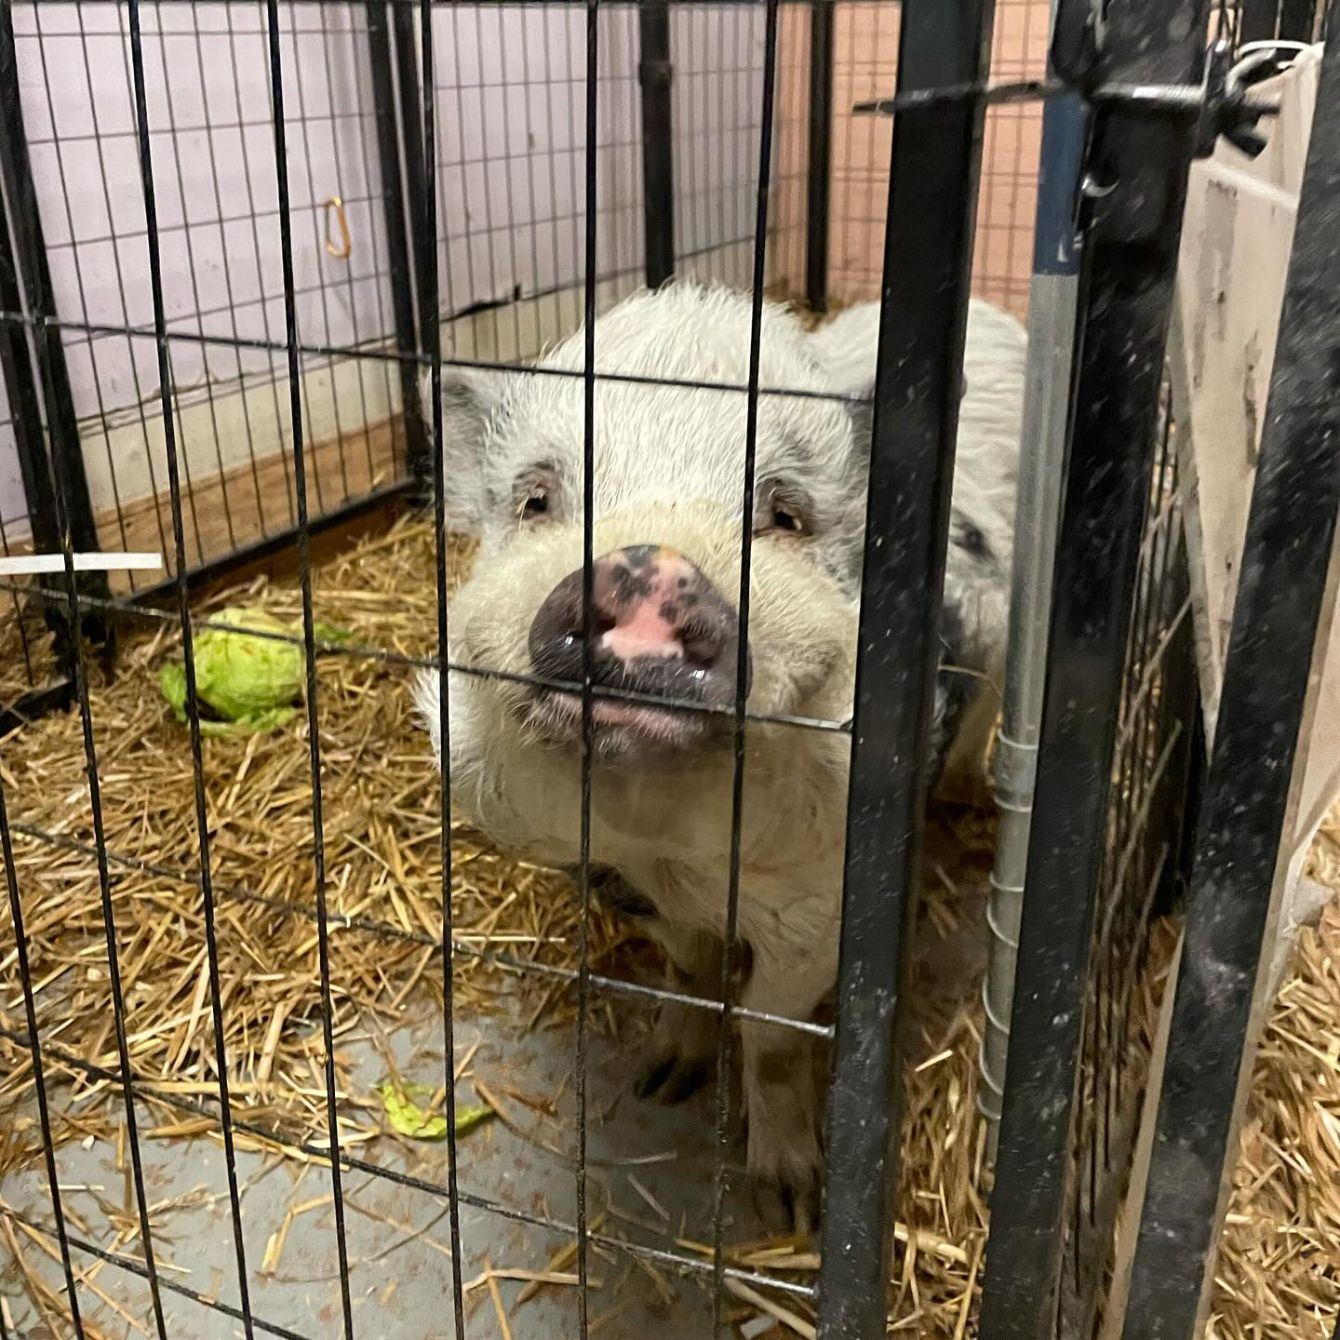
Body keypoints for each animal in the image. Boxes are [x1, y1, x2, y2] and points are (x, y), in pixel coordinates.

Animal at [414, 281, 1026, 1230]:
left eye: (783, 515)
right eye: (536, 500)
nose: (641, 567)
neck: (670, 834)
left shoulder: (824, 899)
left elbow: (770, 1030)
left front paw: (791, 1205)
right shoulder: (609, 871)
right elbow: (687, 967)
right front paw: (662, 1081)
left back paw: (968, 799)